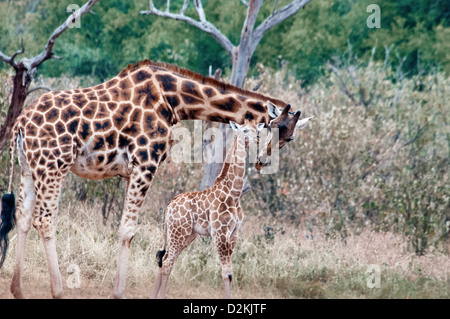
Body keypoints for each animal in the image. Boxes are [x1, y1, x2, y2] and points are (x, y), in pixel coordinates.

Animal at [152, 119, 264, 298]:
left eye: (257, 129)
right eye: (245, 130)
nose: (258, 138)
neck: (234, 193)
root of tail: (168, 207)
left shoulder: (234, 233)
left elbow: (230, 273)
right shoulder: (220, 233)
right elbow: (227, 273)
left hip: (187, 235)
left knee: (165, 259)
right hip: (179, 233)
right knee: (168, 262)